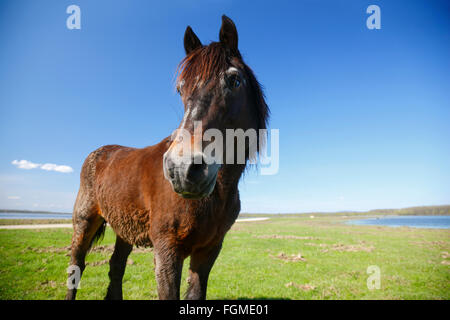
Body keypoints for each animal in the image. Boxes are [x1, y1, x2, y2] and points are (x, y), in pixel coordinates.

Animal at [65, 15, 268, 300]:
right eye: (180, 89)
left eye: (234, 81)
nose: (181, 169)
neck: (218, 193)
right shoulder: (167, 250)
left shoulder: (209, 250)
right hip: (84, 222)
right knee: (77, 264)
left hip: (124, 229)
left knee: (116, 266)